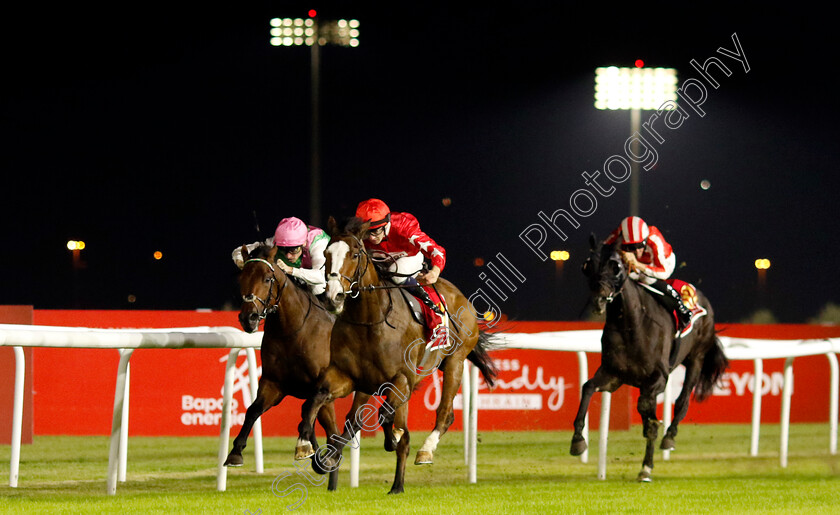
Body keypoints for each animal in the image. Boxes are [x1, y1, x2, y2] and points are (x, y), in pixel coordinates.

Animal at [225, 243, 370, 492]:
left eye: (267, 279)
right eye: (241, 278)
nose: (248, 317)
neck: (292, 331)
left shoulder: (323, 388)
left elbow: (310, 416)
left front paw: (316, 456)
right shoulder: (273, 384)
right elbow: (254, 410)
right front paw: (235, 453)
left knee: (350, 422)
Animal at [294, 216, 496, 494]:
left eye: (355, 254)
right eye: (326, 254)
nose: (333, 296)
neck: (370, 321)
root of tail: (460, 296)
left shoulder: (401, 379)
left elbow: (382, 417)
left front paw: (392, 439)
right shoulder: (346, 377)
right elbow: (316, 403)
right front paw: (309, 447)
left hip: (455, 362)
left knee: (445, 414)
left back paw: (422, 453)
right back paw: (395, 482)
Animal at [572, 236, 728, 482]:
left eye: (616, 267)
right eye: (587, 266)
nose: (599, 300)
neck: (632, 326)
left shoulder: (658, 377)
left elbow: (647, 408)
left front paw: (647, 464)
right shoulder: (612, 375)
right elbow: (587, 387)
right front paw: (578, 441)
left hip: (697, 358)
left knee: (682, 401)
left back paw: (669, 437)